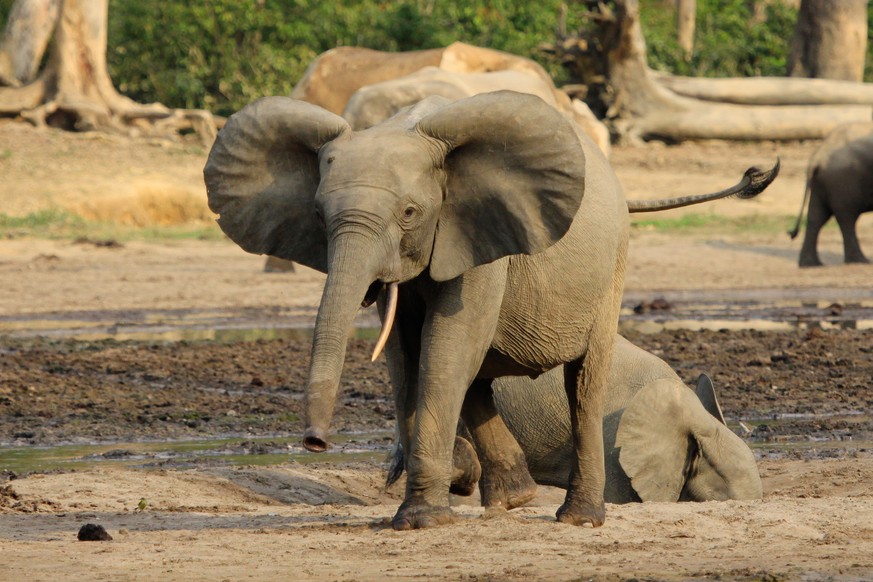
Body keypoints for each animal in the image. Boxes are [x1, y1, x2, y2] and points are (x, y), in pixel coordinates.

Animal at [792, 124, 872, 270]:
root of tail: (817, 158)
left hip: (823, 183)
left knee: (816, 217)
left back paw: (811, 264)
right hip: (843, 181)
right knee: (847, 218)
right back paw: (860, 261)